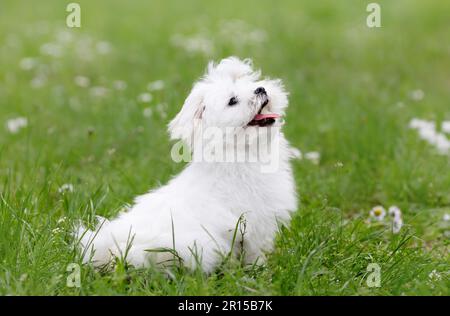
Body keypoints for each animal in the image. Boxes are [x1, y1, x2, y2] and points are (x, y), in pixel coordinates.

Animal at [78, 57, 298, 274]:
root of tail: (105, 246)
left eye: (249, 84)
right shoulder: (254, 222)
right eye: (232, 101)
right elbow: (255, 252)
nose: (260, 89)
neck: (240, 152)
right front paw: (260, 269)